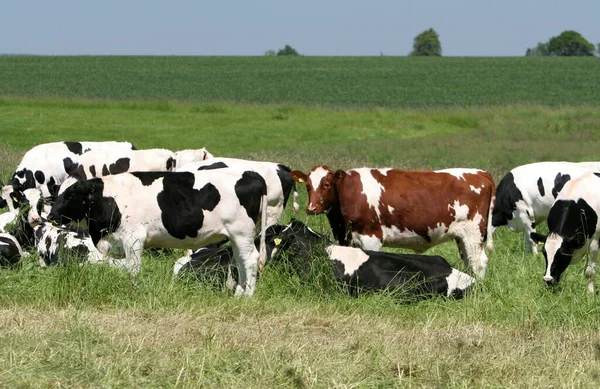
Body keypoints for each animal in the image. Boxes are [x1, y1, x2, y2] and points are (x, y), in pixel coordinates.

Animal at [48, 169, 268, 294]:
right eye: (57, 194)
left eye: (71, 195)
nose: (50, 216)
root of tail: (252, 176)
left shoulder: (134, 238)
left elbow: (133, 268)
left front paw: (134, 290)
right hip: (237, 237)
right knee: (240, 260)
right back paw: (240, 292)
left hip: (241, 232)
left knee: (250, 259)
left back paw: (247, 295)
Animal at [290, 165, 496, 278]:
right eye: (307, 186)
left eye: (326, 184)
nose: (311, 208)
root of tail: (481, 173)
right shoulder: (344, 236)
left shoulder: (371, 236)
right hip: (462, 237)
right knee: (469, 261)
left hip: (473, 232)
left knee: (479, 261)